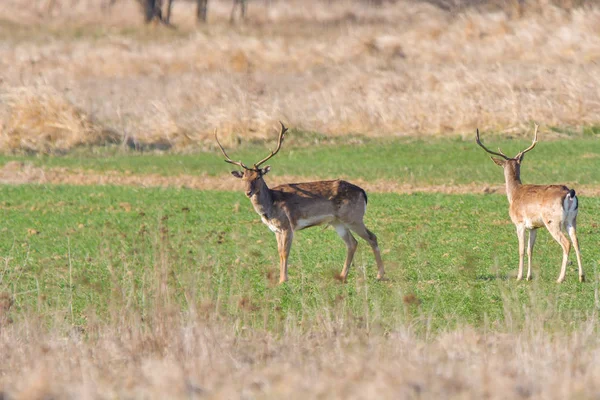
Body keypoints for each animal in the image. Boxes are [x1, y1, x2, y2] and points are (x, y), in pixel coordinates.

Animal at [216, 123, 384, 282]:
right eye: (243, 178)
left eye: (257, 177)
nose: (248, 192)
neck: (270, 205)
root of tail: (363, 192)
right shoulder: (276, 230)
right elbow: (279, 252)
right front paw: (281, 278)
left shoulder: (287, 226)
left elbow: (285, 253)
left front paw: (283, 280)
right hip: (338, 222)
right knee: (352, 243)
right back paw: (343, 276)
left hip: (353, 217)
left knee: (372, 237)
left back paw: (380, 275)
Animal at [476, 123, 584, 282]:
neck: (514, 194)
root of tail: (569, 194)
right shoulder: (534, 227)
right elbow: (529, 249)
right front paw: (529, 276)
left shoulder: (519, 223)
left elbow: (521, 249)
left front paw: (519, 276)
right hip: (572, 219)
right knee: (576, 241)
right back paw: (582, 277)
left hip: (553, 221)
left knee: (566, 243)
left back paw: (560, 278)